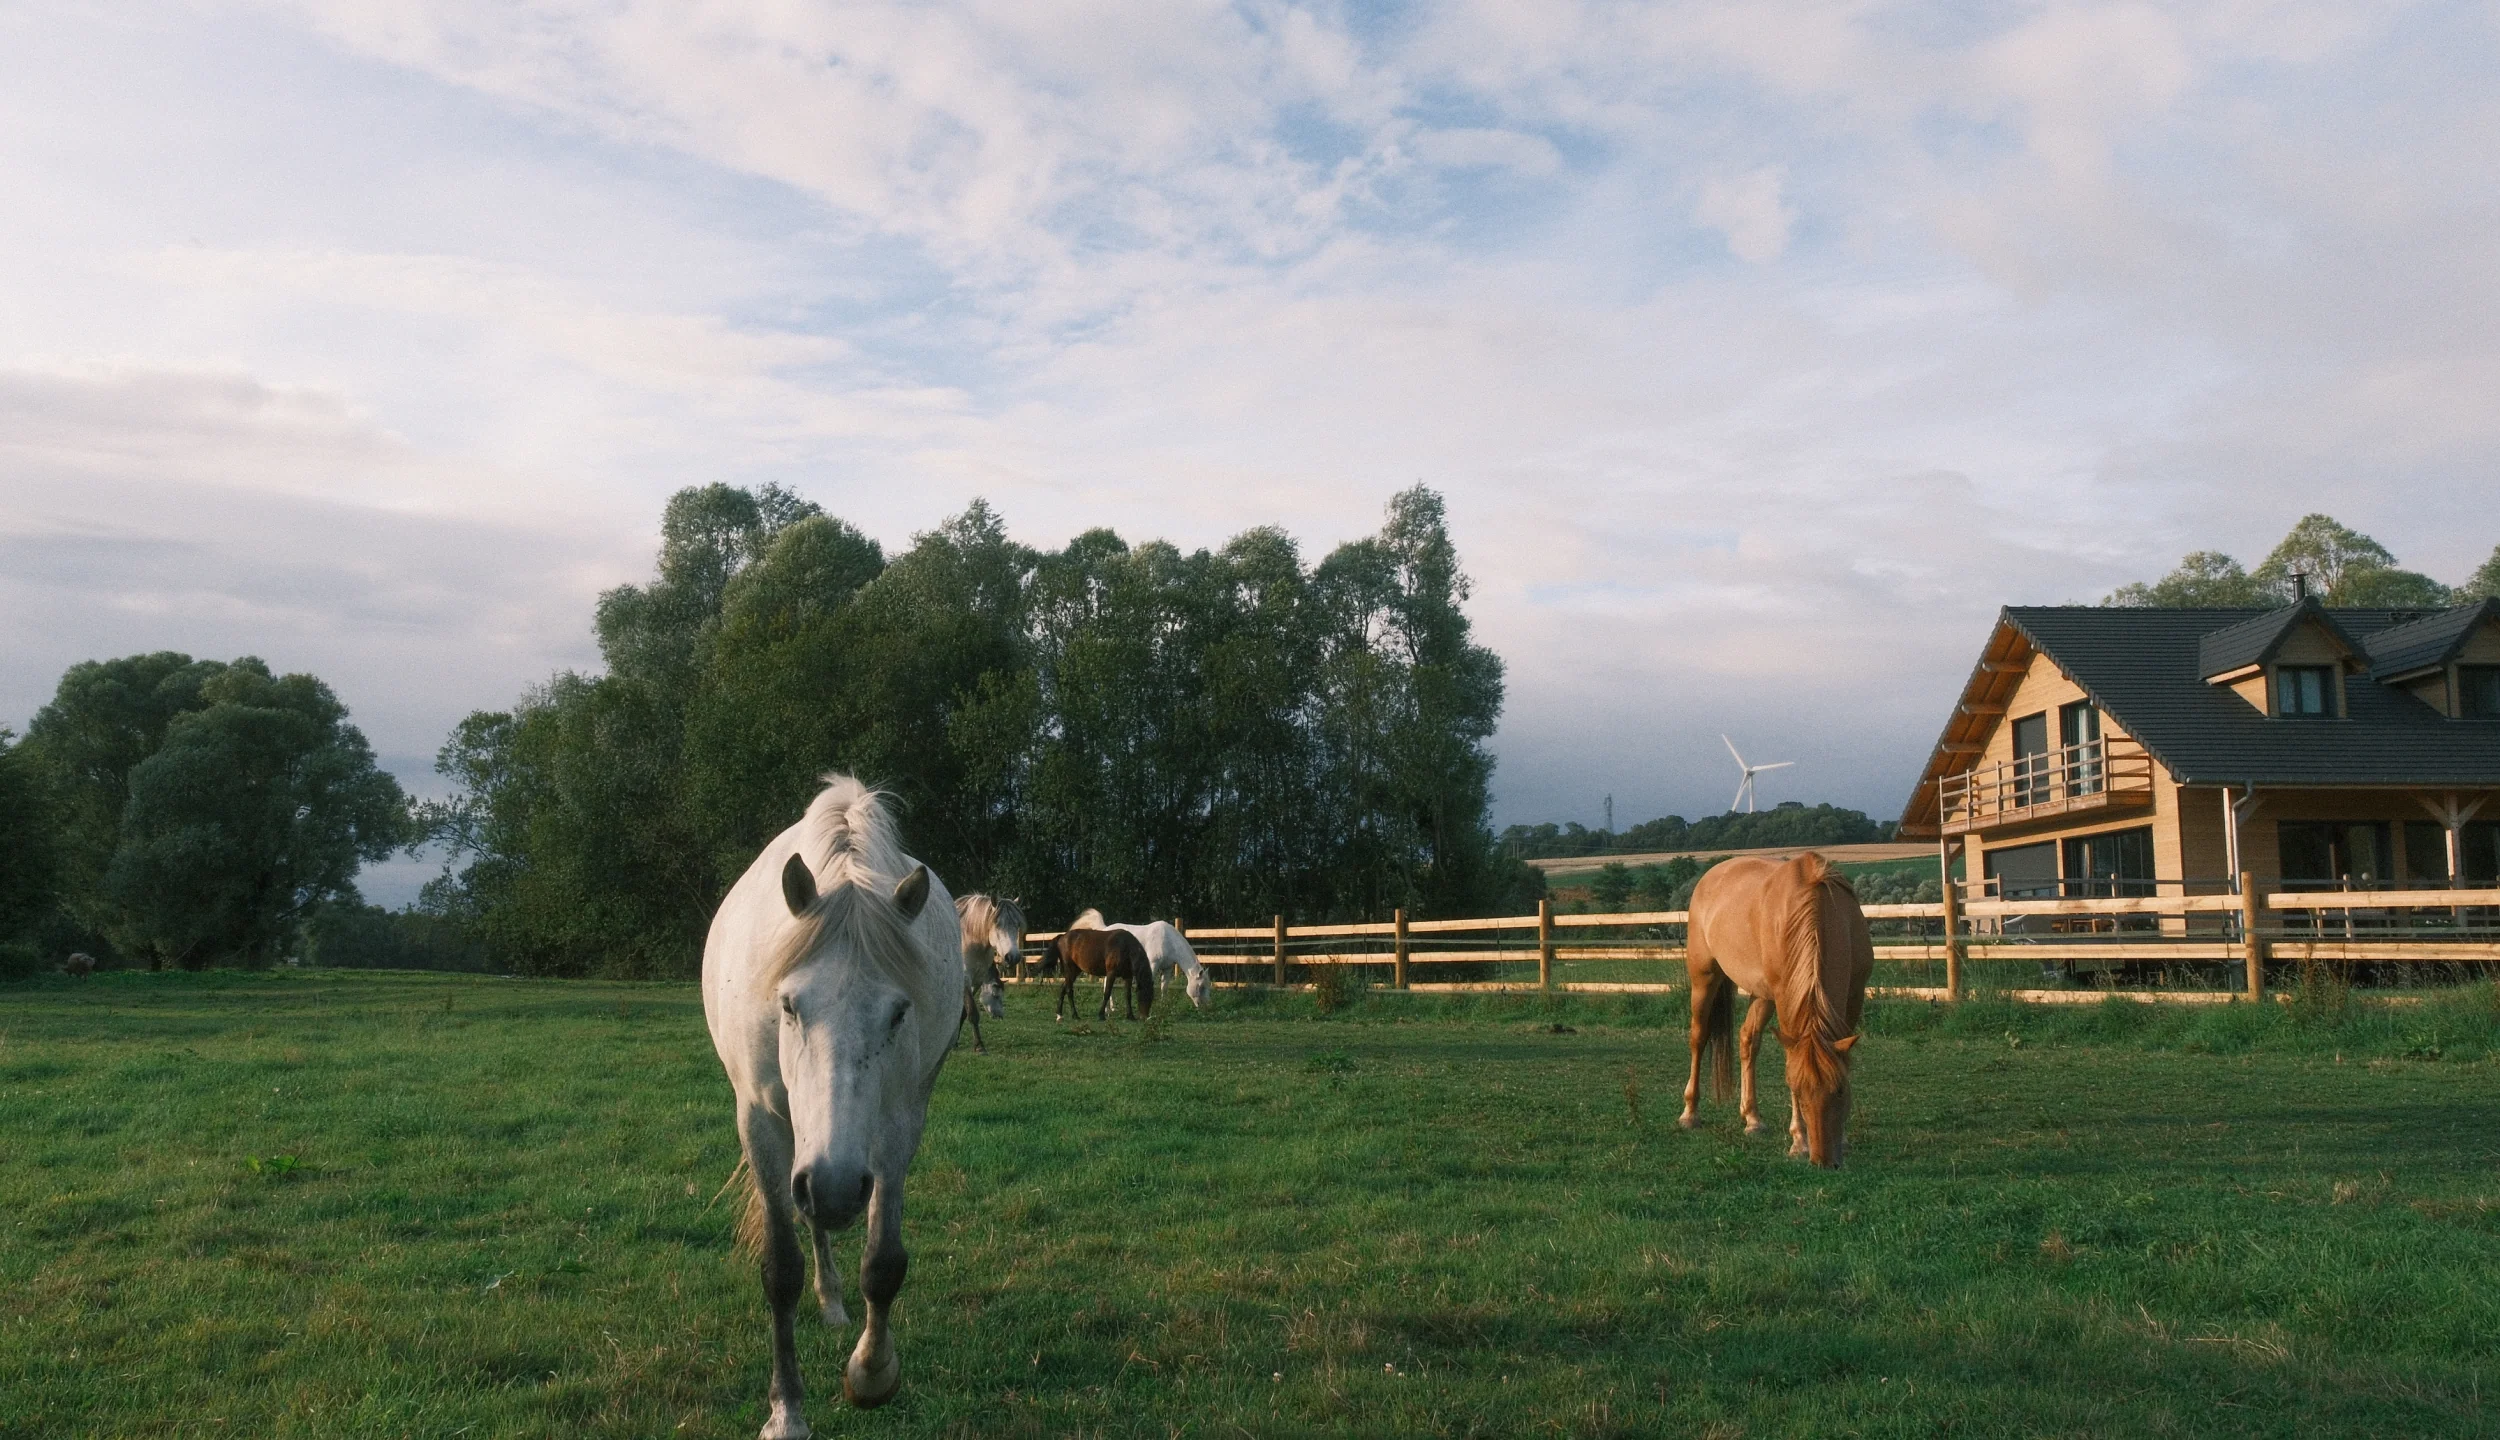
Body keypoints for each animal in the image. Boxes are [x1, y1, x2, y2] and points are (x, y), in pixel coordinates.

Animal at [701, 776, 963, 1433]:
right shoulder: (761, 1122)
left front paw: (871, 1374)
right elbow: (780, 1268)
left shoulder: (900, 1125)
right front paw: (787, 1411)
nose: (837, 1187)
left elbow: (884, 1261)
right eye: (788, 1005)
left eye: (898, 1013)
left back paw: (835, 1303)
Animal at [952, 894, 1019, 1053]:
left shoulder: (977, 981)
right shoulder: (965, 979)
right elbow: (972, 1012)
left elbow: (963, 1012)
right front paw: (979, 1046)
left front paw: (955, 1042)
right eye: (998, 924)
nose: (1012, 957)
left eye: (1017, 925)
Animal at [1069, 908, 1211, 1009]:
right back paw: (1108, 1010)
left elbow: (1164, 987)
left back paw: (1111, 1008)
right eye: (1201, 986)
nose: (1205, 1006)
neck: (1168, 940)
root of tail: (1105, 929)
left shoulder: (1167, 968)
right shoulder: (1153, 964)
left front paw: (1163, 1006)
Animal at [1678, 852, 1873, 1168]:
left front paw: (1842, 1138)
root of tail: (1711, 875)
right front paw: (1799, 1140)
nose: (1822, 1161)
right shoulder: (1785, 999)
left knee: (1748, 1040)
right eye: (1797, 1089)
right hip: (1704, 978)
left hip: (1761, 995)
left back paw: (1752, 1119)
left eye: (1840, 1090)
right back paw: (1689, 1114)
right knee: (1699, 1037)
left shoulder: (1854, 993)